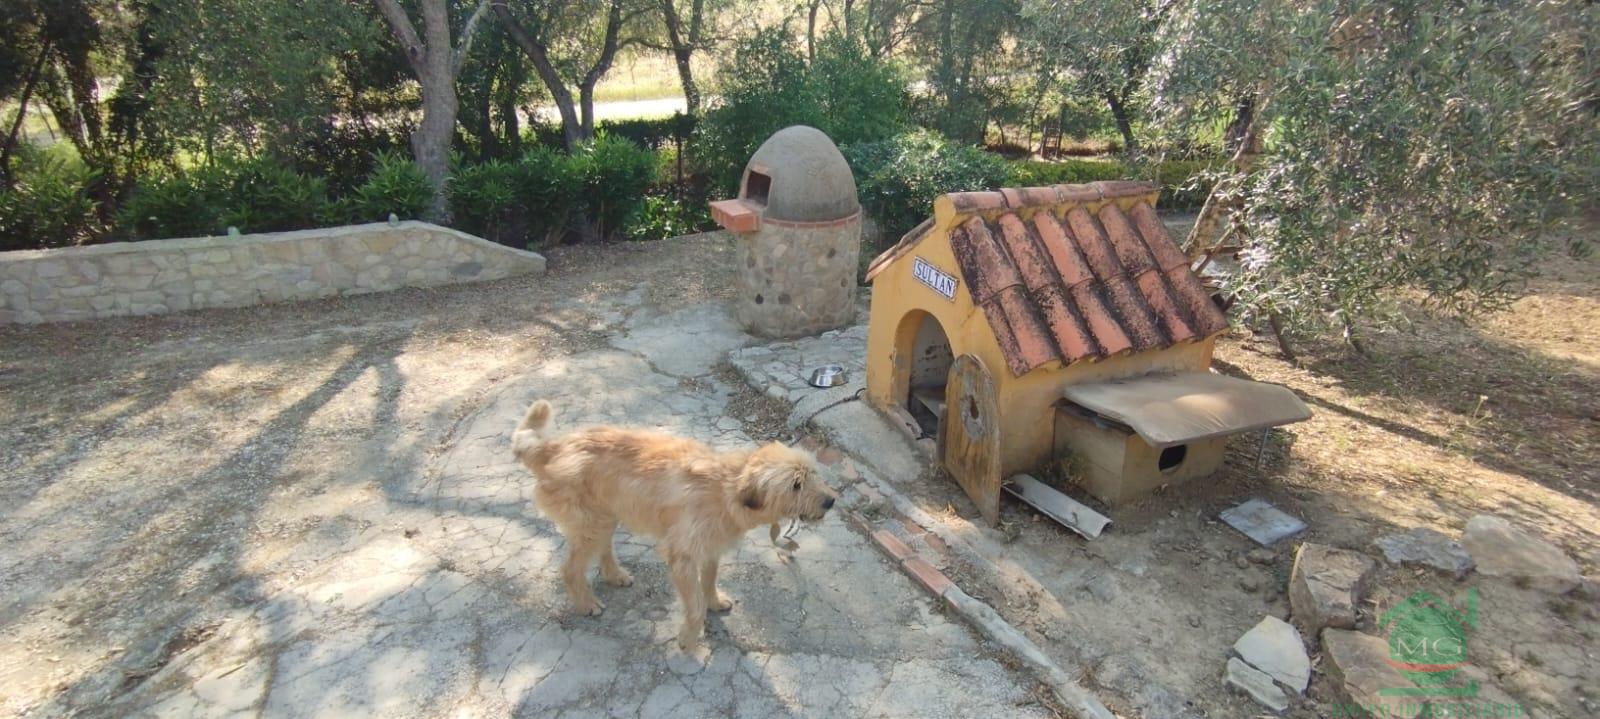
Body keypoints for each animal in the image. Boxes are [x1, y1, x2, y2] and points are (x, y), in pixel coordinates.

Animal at [512, 397, 838, 650]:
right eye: (796, 485)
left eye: (814, 474)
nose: (831, 501)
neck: (726, 489)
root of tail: (553, 448)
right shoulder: (682, 558)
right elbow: (693, 606)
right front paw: (689, 639)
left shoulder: (710, 549)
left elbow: (709, 581)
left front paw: (714, 602)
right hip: (591, 524)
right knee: (570, 569)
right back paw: (586, 603)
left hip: (605, 517)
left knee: (603, 550)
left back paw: (614, 575)